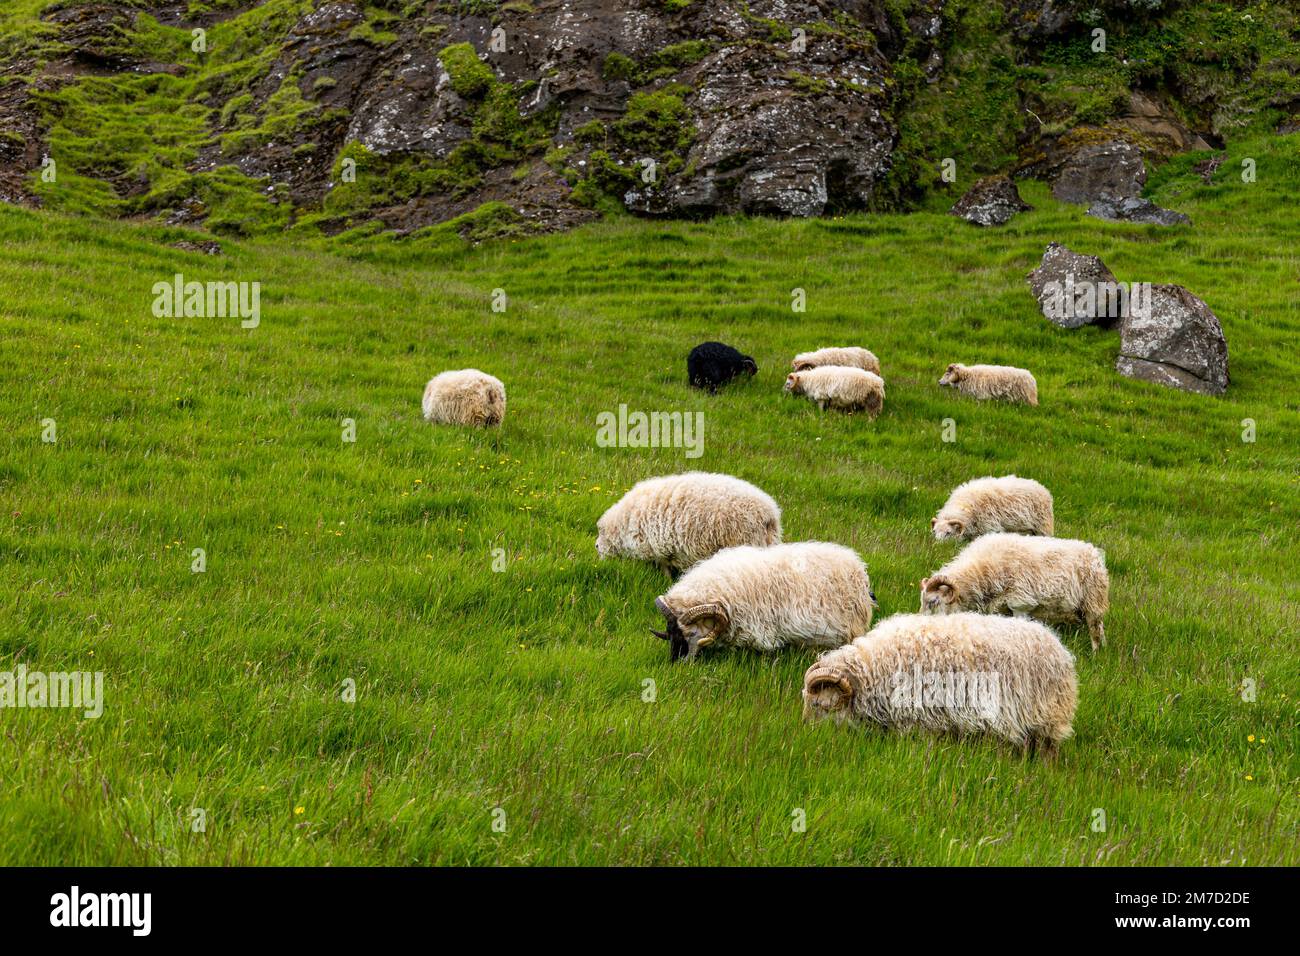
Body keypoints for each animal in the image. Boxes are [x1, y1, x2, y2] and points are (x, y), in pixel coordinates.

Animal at [598, 476, 780, 580]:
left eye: (600, 537)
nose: (596, 547)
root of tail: (769, 513)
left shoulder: (658, 548)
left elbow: (664, 567)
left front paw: (666, 580)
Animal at [800, 613, 1076, 764]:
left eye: (819, 704)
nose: (807, 732)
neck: (872, 669)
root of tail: (1058, 648)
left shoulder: (921, 720)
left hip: (1046, 720)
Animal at [920, 530, 1112, 650]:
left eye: (934, 601)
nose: (922, 627)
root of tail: (1095, 554)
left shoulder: (1020, 604)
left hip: (1093, 600)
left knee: (1096, 629)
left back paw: (1096, 653)